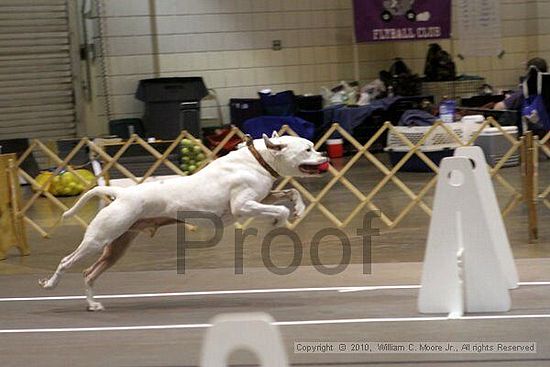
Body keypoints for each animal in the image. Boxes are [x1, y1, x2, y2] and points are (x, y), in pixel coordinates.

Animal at [42, 134, 332, 312]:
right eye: (308, 149)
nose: (325, 155)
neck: (257, 160)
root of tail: (122, 193)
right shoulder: (244, 206)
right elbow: (278, 208)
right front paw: (277, 220)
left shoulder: (264, 196)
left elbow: (290, 193)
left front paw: (299, 208)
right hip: (98, 239)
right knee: (67, 261)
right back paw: (51, 284)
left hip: (117, 247)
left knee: (89, 273)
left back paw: (92, 304)